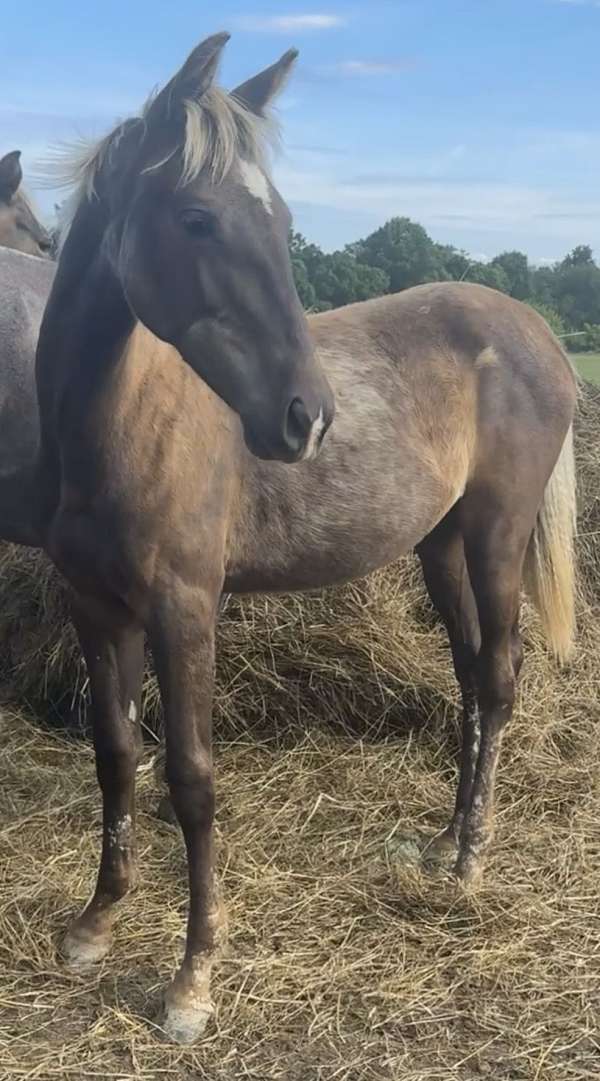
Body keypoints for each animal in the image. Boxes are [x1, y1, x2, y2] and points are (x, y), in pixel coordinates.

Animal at [8, 33, 574, 1044]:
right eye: (197, 217)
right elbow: (115, 756)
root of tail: (534, 331)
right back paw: (441, 843)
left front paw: (192, 981)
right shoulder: (96, 607)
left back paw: (472, 859)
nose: (307, 418)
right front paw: (95, 925)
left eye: (279, 222)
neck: (118, 423)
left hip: (496, 534)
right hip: (440, 547)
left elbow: (191, 779)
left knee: (503, 678)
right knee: (473, 677)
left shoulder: (185, 608)